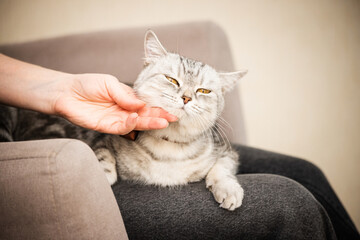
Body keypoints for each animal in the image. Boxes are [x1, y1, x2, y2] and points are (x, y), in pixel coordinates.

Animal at [0, 30, 246, 210]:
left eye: (204, 90)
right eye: (171, 79)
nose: (186, 97)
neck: (170, 149)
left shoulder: (227, 151)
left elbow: (222, 167)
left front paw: (229, 189)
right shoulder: (101, 138)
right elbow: (103, 157)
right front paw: (103, 174)